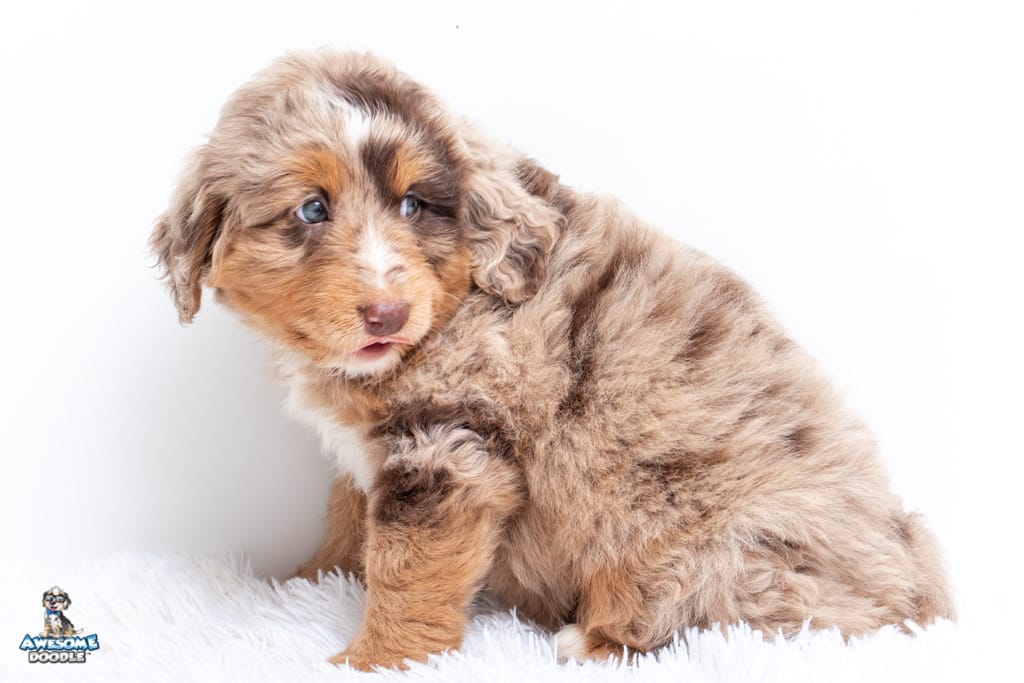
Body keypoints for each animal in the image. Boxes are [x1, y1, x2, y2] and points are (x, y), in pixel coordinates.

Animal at [151, 49, 954, 670]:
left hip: (715, 548)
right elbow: (350, 523)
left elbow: (407, 568)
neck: (453, 303)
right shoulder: (382, 455)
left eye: (414, 205)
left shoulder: (447, 450)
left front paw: (374, 659)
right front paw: (304, 585)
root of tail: (922, 593)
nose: (387, 314)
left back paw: (588, 641)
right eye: (312, 210)